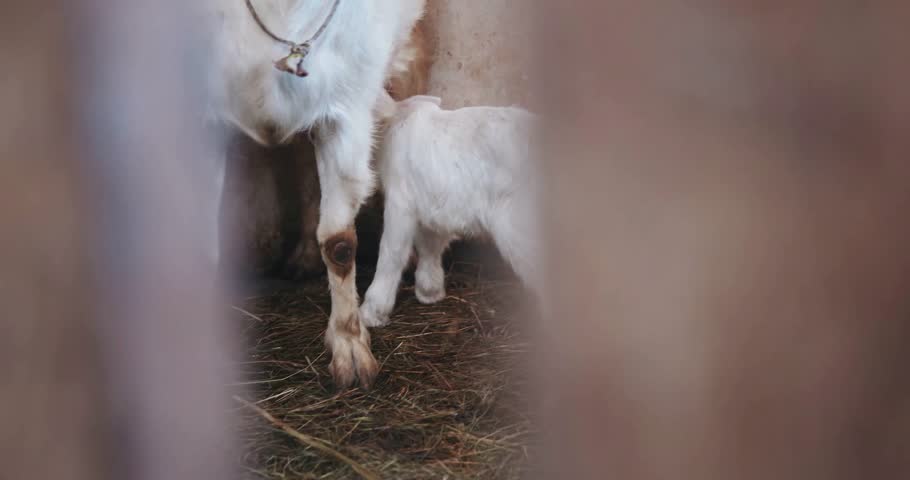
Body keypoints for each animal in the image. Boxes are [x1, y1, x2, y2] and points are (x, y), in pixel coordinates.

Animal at [361, 95, 541, 327]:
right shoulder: (431, 206)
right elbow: (429, 247)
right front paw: (429, 292)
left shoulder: (401, 204)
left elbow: (391, 254)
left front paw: (372, 313)